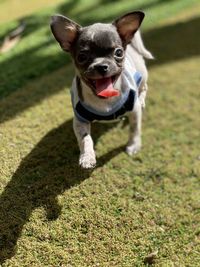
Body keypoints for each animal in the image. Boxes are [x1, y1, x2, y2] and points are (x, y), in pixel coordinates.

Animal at [50, 11, 153, 170]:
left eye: (118, 52)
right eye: (82, 57)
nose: (101, 66)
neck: (105, 100)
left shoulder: (134, 111)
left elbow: (134, 128)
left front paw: (133, 145)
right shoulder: (79, 121)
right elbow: (85, 139)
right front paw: (87, 156)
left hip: (142, 74)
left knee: (144, 88)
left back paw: (141, 99)